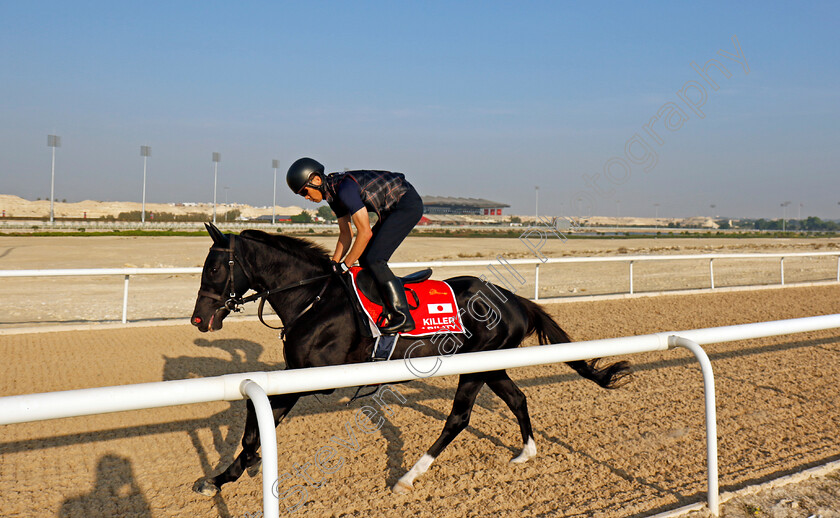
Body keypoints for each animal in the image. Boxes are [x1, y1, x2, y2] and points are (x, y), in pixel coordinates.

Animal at [189, 224, 632, 500]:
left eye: (214, 266)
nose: (199, 319)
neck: (314, 299)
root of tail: (515, 300)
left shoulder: (316, 377)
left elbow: (255, 421)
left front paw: (236, 470)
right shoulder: (292, 375)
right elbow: (255, 416)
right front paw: (229, 474)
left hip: (474, 367)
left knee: (458, 419)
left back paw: (407, 477)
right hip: (489, 365)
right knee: (517, 398)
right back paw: (526, 452)